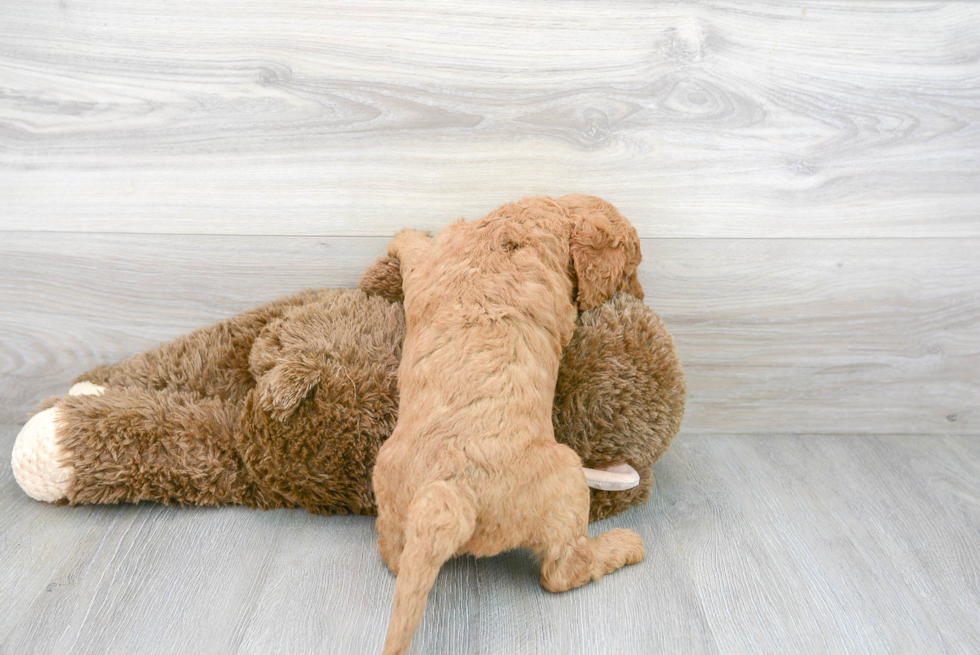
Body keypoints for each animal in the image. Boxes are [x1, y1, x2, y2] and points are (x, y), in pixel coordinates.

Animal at [372, 195, 648, 655]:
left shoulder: (432, 263)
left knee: (394, 554)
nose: (642, 296)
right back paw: (624, 545)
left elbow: (415, 250)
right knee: (563, 570)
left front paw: (404, 236)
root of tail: (448, 492)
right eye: (630, 268)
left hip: (388, 479)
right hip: (567, 478)